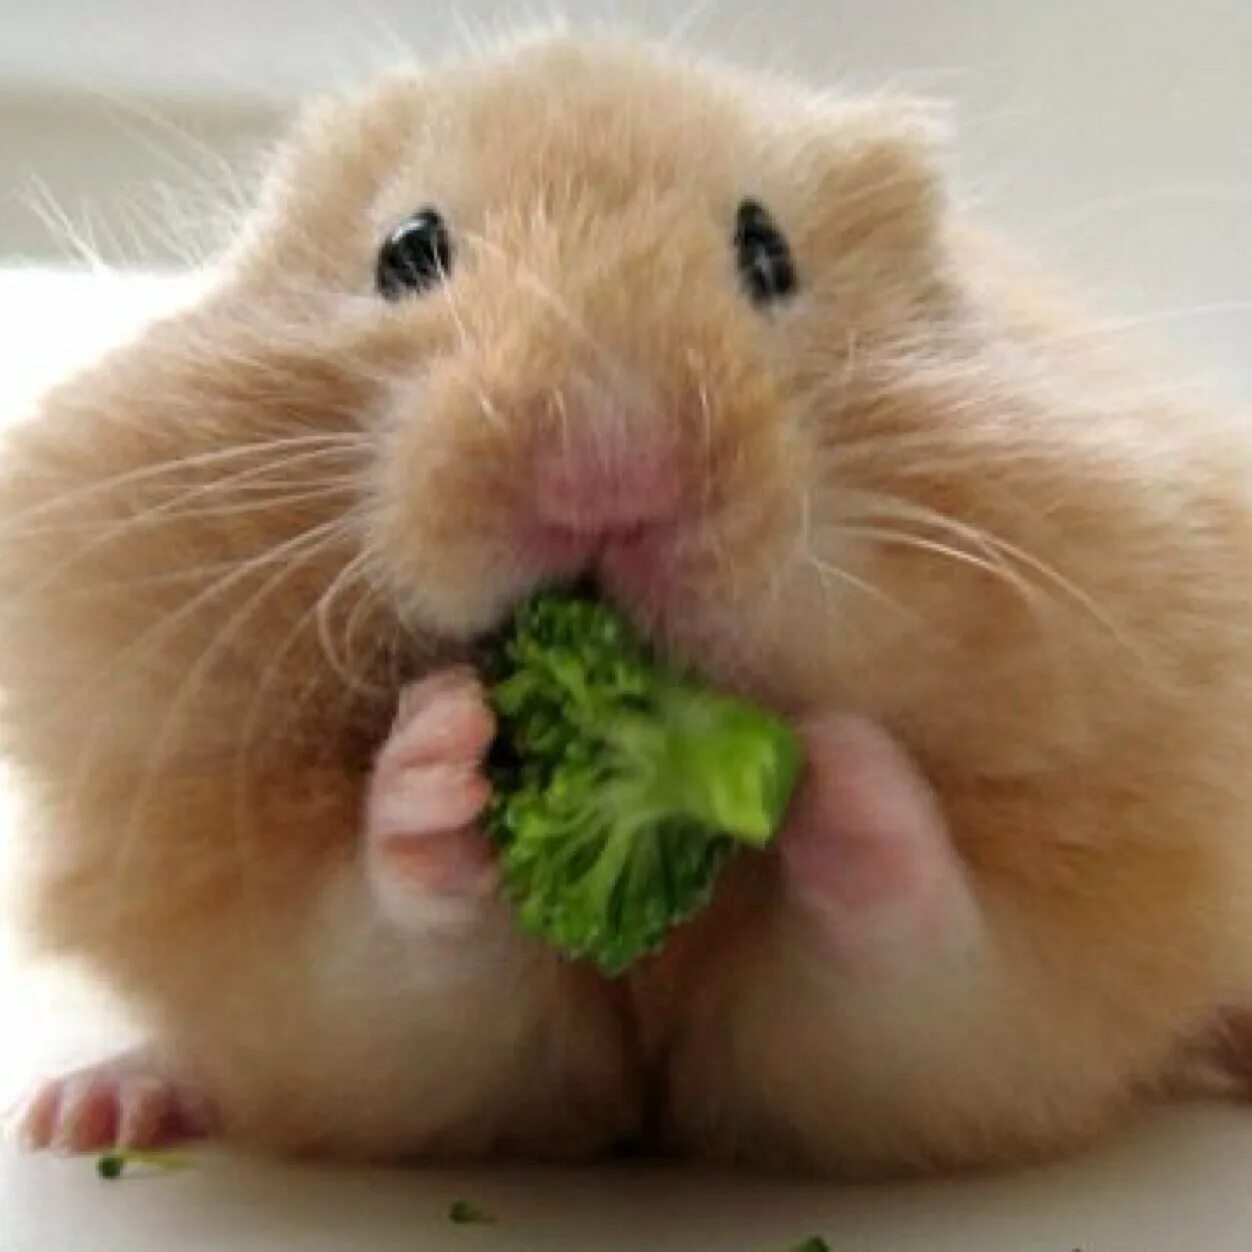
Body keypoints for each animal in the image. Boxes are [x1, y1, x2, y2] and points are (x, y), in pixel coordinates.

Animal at [6, 30, 1252, 1176]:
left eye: (767, 250)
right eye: (409, 251)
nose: (606, 474)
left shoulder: (954, 1033)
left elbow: (913, 941)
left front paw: (838, 767)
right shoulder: (366, 1023)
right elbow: (398, 945)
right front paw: (436, 750)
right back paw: (93, 1109)